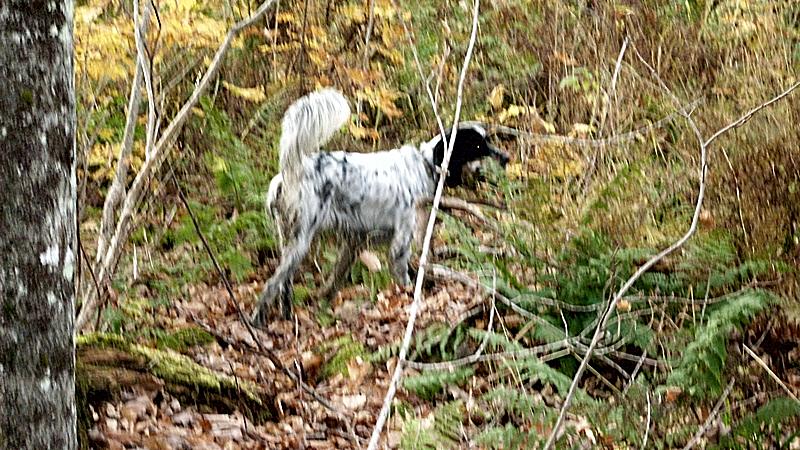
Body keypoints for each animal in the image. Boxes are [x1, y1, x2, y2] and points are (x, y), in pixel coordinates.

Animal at [253, 89, 510, 326]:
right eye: (479, 146)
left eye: (488, 142)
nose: (507, 158)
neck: (425, 165)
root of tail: (288, 174)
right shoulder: (399, 245)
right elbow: (405, 280)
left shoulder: (355, 240)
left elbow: (335, 279)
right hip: (301, 240)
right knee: (271, 283)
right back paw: (257, 320)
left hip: (288, 241)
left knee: (284, 285)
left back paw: (286, 315)